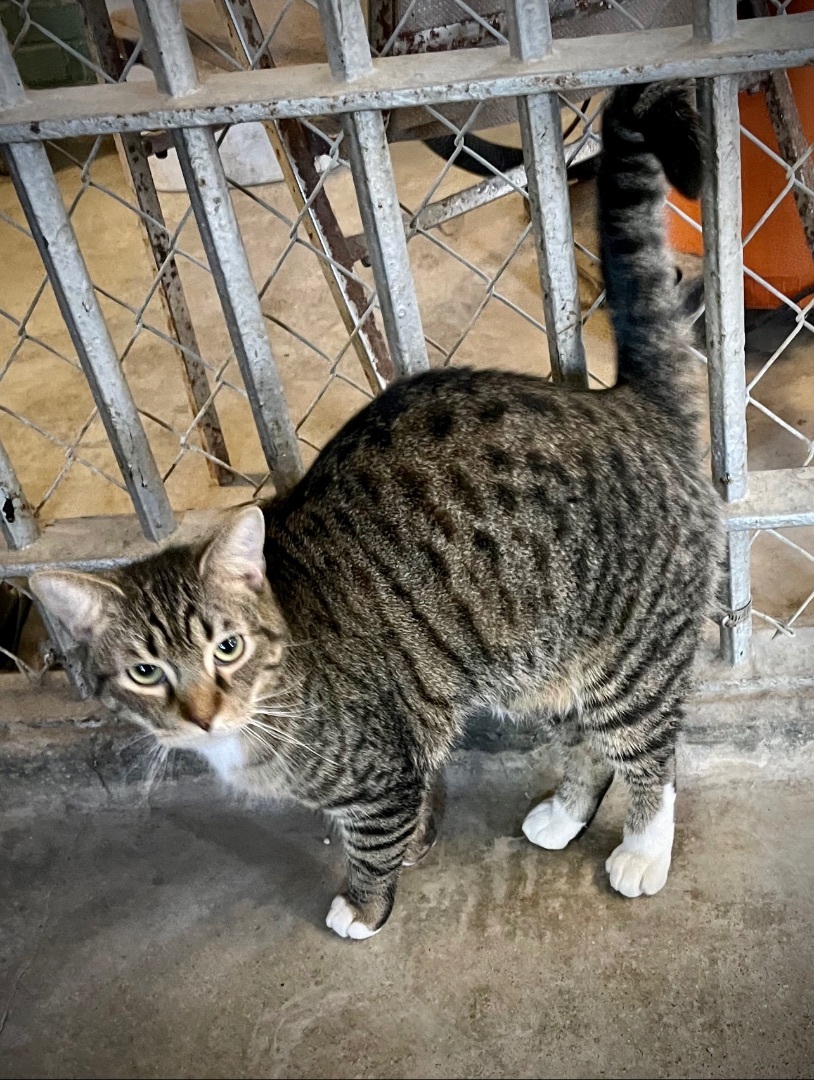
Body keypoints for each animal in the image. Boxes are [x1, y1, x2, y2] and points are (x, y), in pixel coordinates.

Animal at [30, 84, 716, 941]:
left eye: (227, 647)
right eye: (146, 672)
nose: (204, 713)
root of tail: (628, 401)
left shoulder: (381, 763)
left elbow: (374, 836)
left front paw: (363, 903)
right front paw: (420, 843)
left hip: (632, 657)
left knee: (651, 755)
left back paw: (644, 848)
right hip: (551, 661)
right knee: (588, 741)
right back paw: (566, 811)